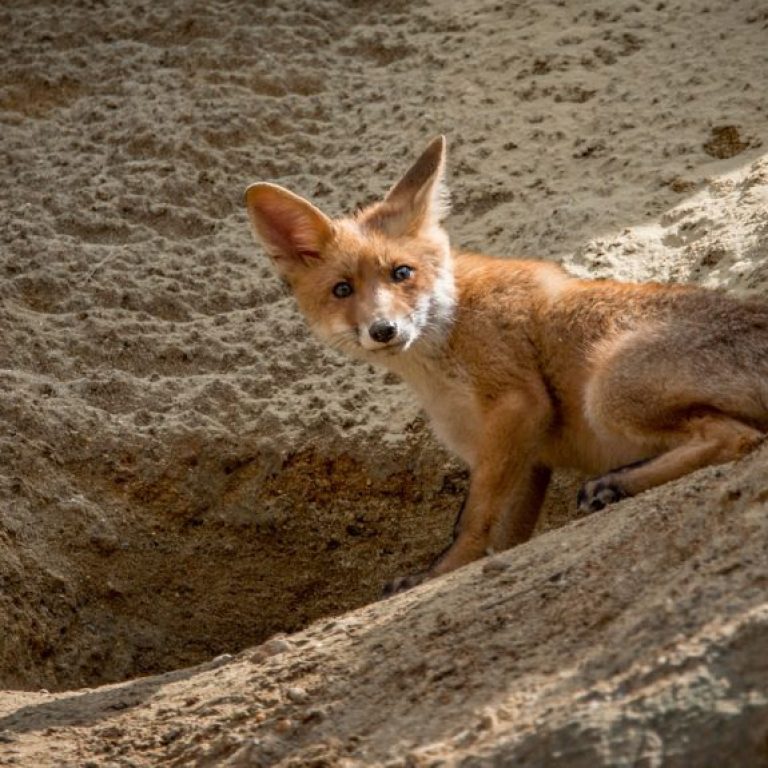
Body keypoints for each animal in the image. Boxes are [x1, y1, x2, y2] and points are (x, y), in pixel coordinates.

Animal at [245, 136, 768, 591]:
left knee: (738, 437)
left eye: (401, 273)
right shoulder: (526, 456)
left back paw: (619, 482)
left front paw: (438, 574)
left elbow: (472, 522)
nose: (384, 330)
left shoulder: (520, 405)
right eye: (342, 290)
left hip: (606, 393)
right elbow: (503, 535)